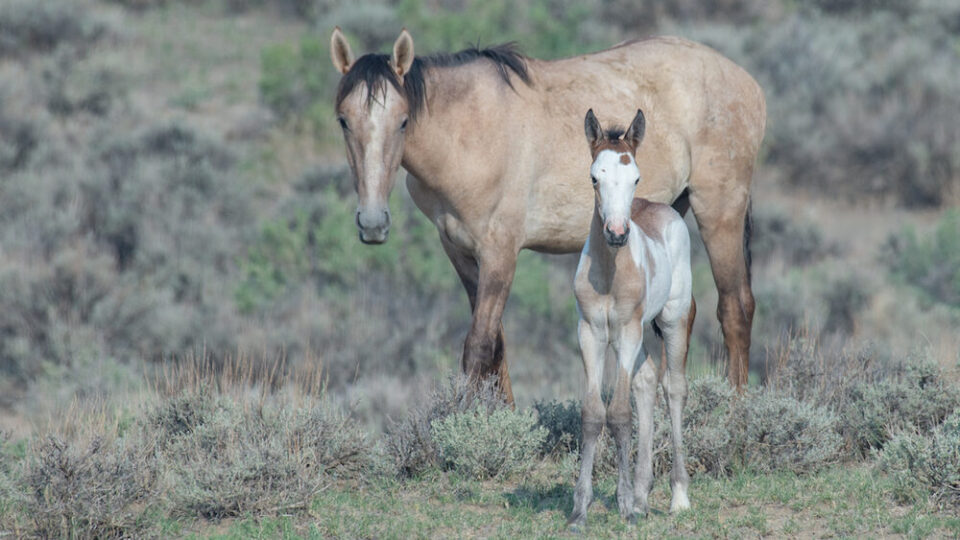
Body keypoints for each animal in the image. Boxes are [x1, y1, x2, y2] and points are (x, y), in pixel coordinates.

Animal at [330, 28, 765, 403]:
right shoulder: (459, 250)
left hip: (719, 211)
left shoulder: (501, 253)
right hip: (672, 213)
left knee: (735, 309)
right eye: (343, 121)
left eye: (403, 121)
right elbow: (497, 347)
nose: (372, 223)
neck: (470, 133)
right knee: (680, 315)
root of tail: (749, 84)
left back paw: (735, 412)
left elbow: (480, 346)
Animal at [568, 109, 695, 528]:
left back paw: (678, 496)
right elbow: (594, 414)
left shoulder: (625, 333)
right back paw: (642, 494)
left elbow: (620, 414)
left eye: (635, 177)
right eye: (595, 176)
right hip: (640, 336)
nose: (617, 233)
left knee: (673, 389)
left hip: (672, 322)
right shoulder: (590, 333)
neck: (609, 274)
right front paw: (580, 510)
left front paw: (623, 507)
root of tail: (665, 210)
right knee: (646, 383)